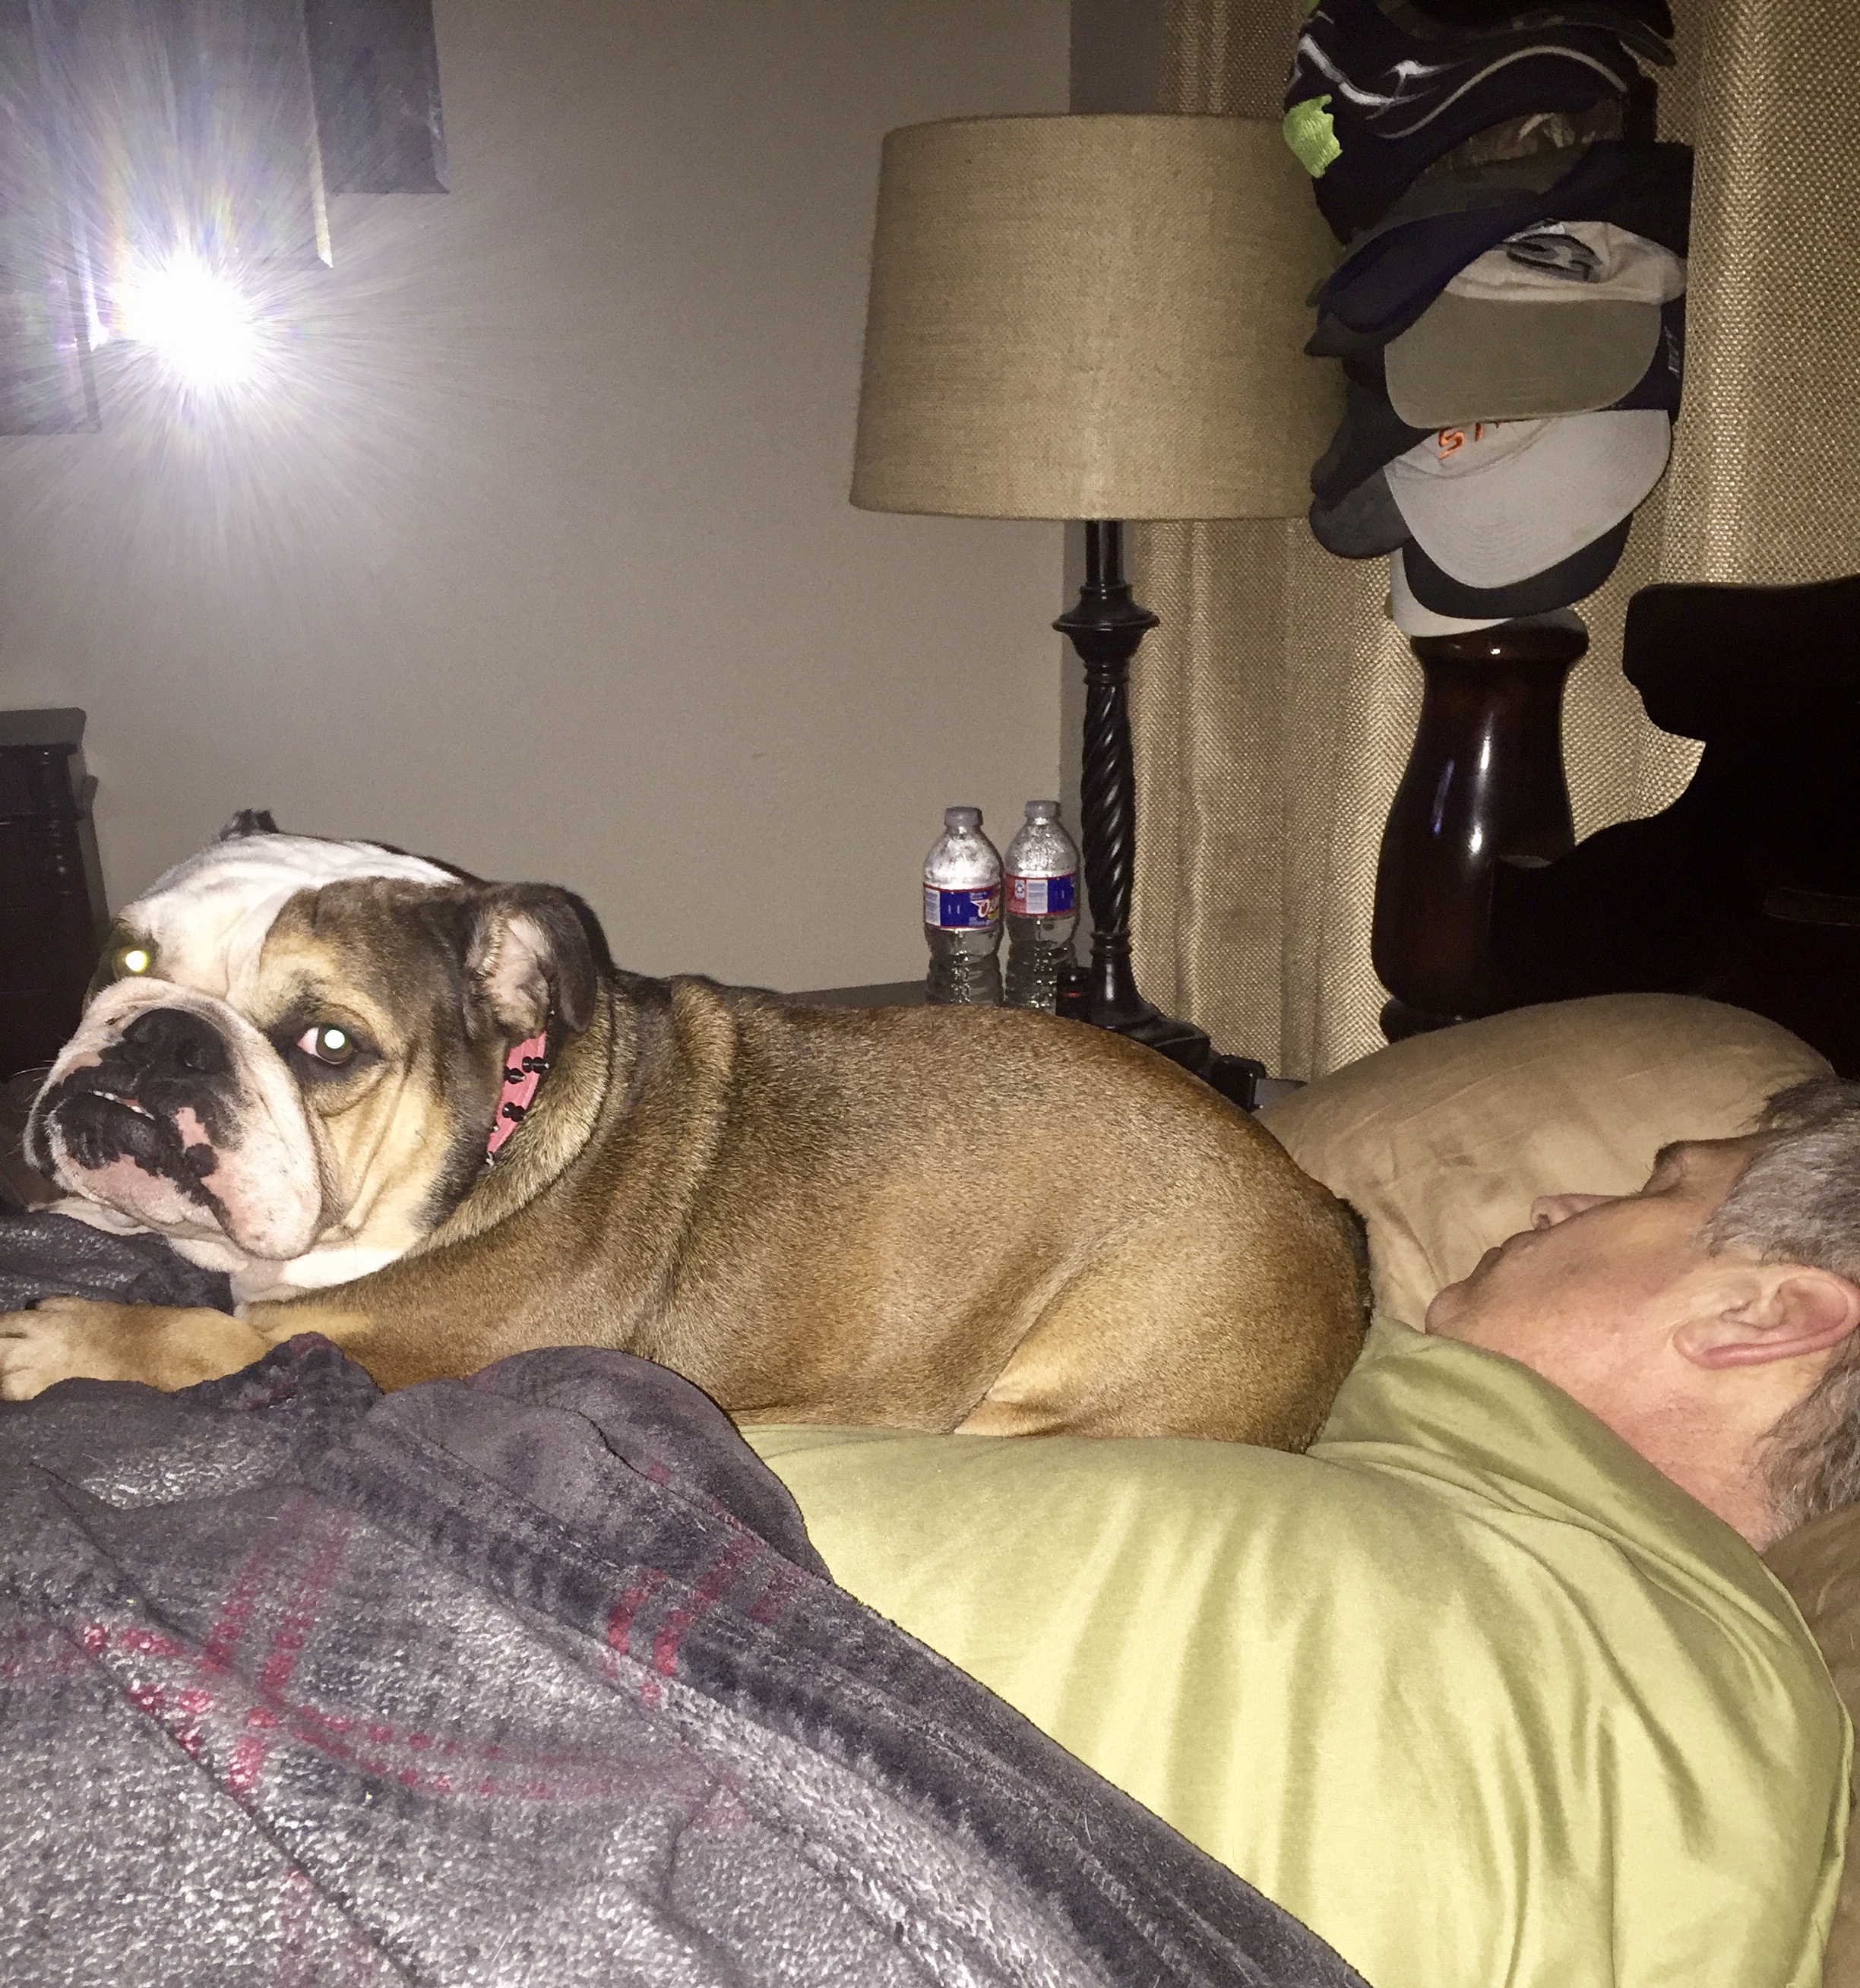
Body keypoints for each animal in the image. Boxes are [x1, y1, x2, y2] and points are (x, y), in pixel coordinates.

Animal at [0, 819, 1367, 1442]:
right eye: (127, 960)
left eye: (329, 1045)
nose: (160, 1037)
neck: (497, 1133)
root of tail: (1323, 1213)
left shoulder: (412, 1361)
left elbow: (206, 1343)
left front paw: (64, 1337)